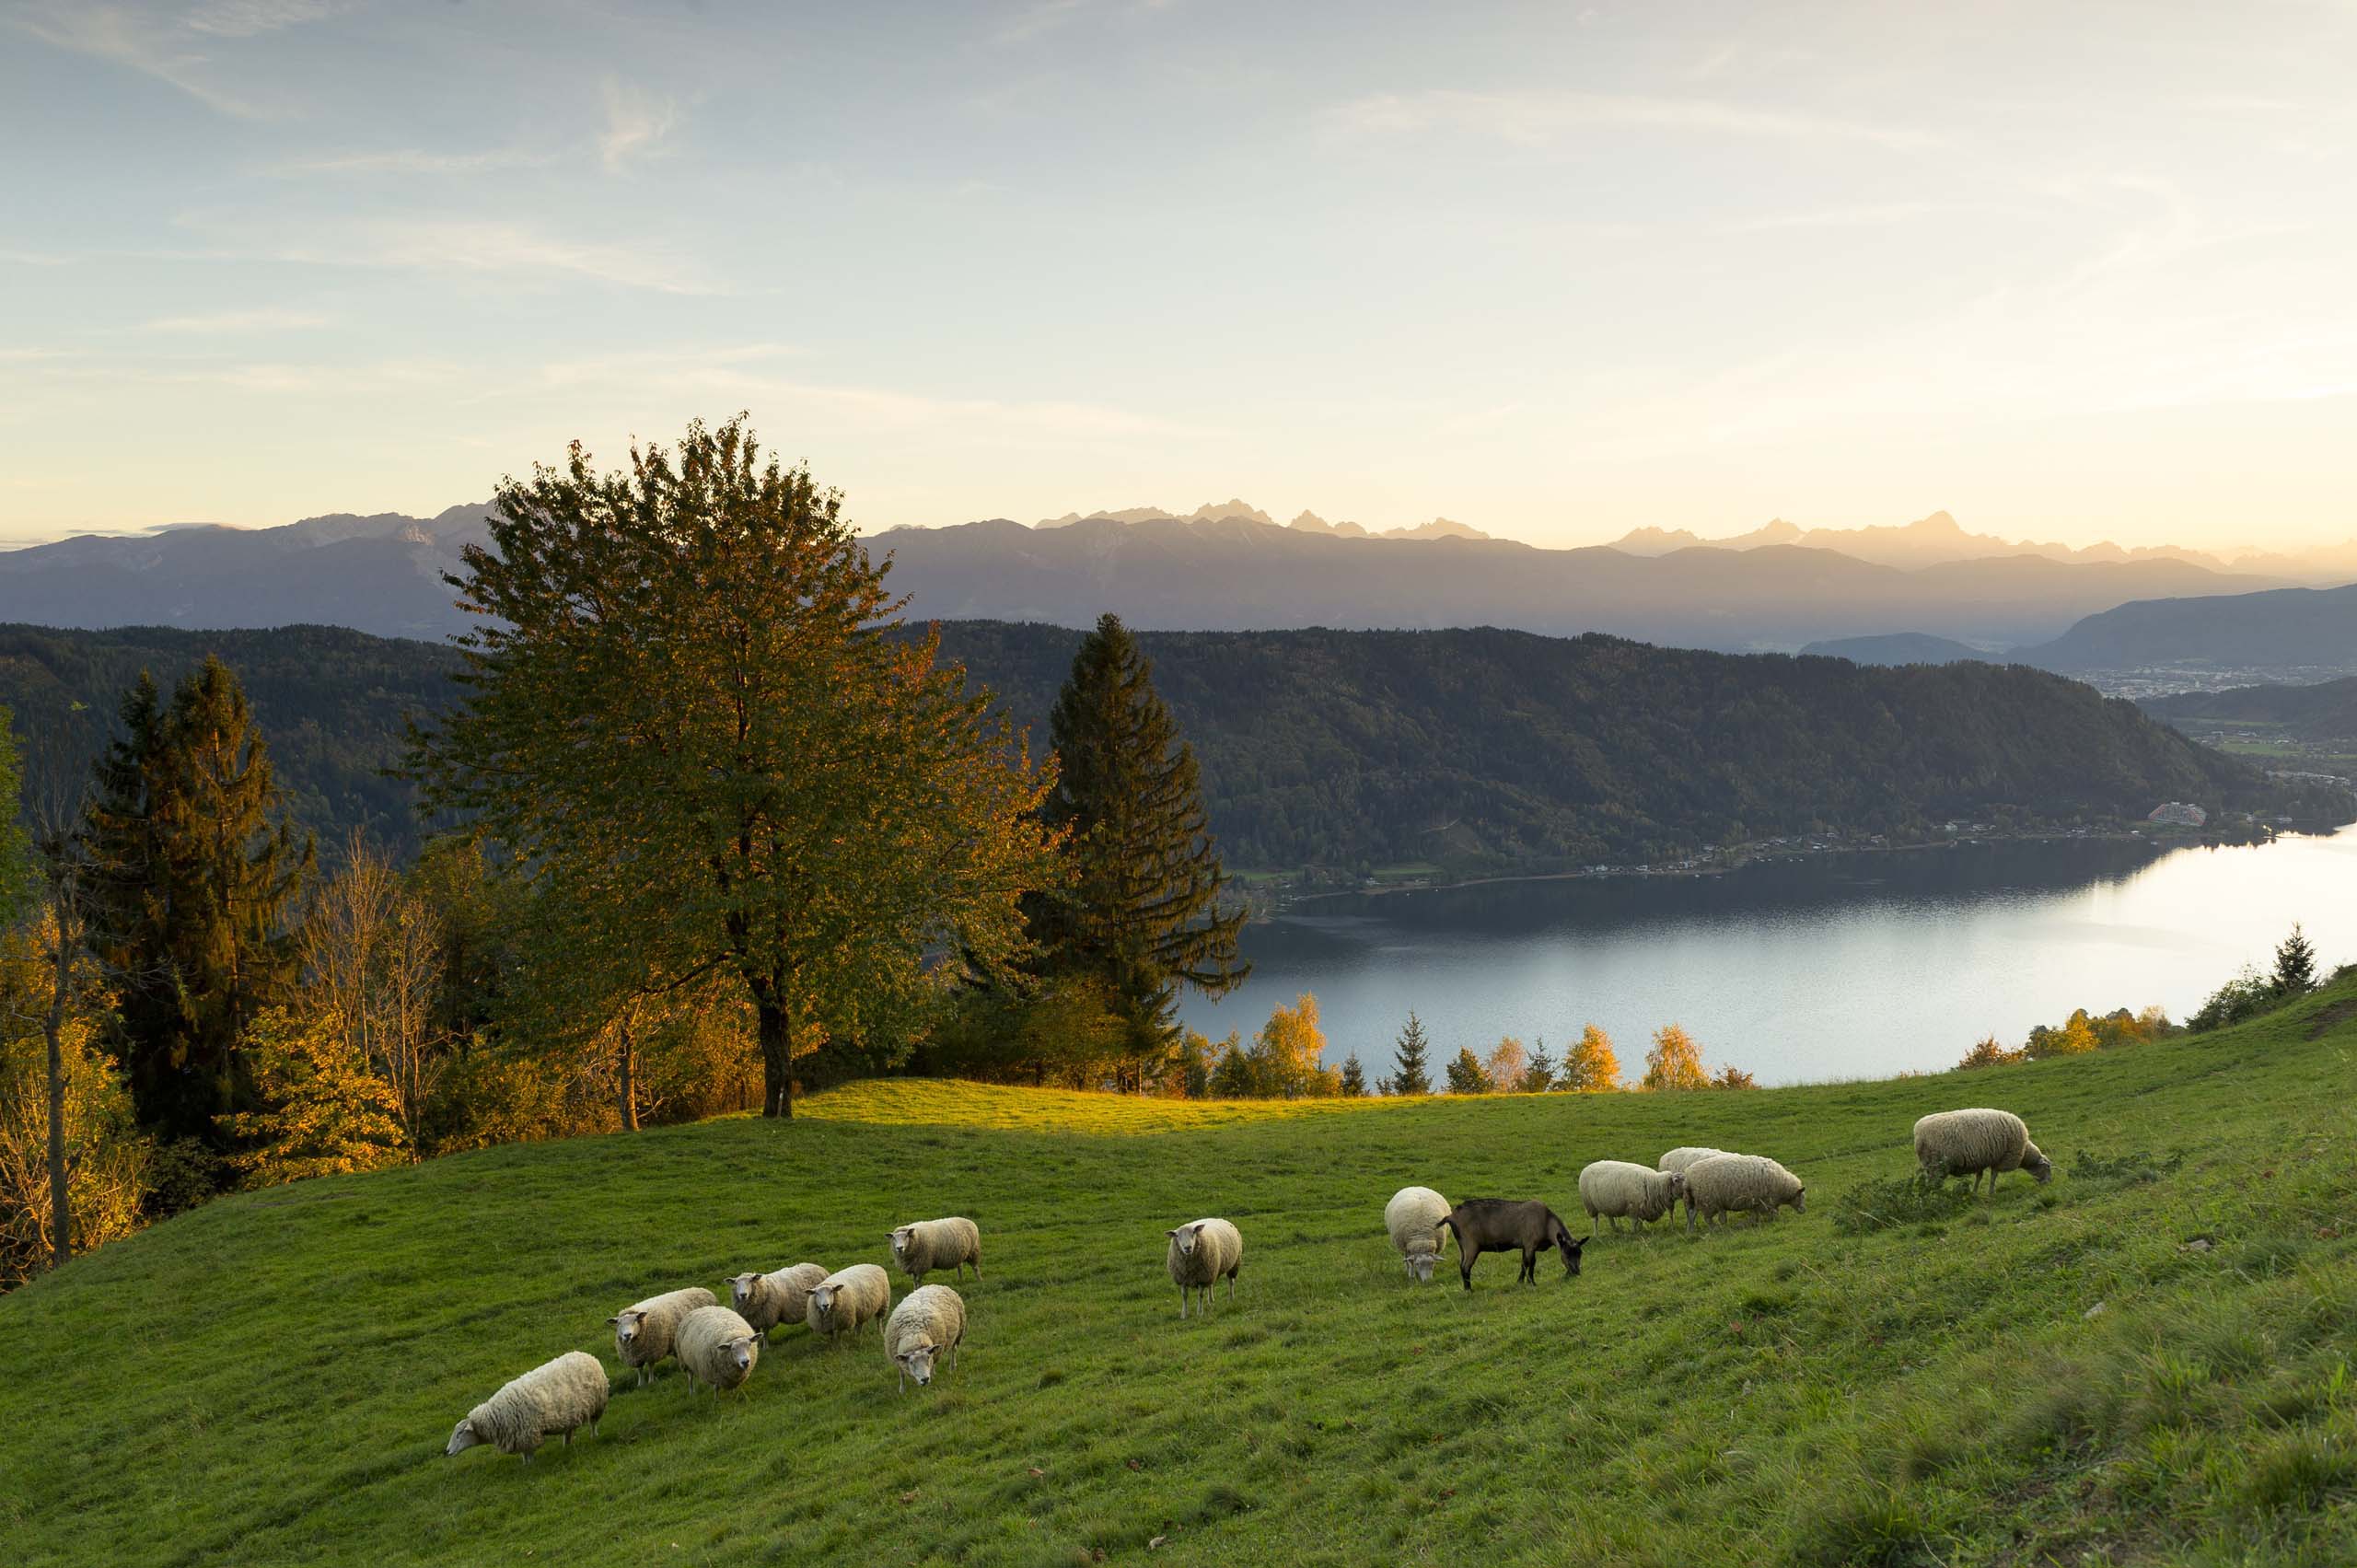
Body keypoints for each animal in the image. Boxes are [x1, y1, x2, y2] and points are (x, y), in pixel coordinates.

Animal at [443, 1339, 608, 1461]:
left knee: (593, 1423)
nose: (447, 1451)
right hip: (571, 1414)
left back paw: (593, 1436)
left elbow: (529, 1455)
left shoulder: (527, 1434)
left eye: (459, 1433)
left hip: (597, 1404)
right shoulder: (518, 1438)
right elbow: (524, 1455)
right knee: (569, 1432)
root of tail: (586, 1355)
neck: (495, 1417)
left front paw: (530, 1467)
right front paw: (524, 1465)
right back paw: (566, 1447)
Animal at [1423, 1197, 1593, 1283]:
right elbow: (1529, 1263)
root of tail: (1451, 1216)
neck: (1546, 1222)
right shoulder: (1530, 1243)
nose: (1576, 1272)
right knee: (1465, 1267)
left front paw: (1524, 1281)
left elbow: (1527, 1263)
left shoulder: (1527, 1245)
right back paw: (1469, 1291)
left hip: (1462, 1246)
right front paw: (1528, 1282)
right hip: (1471, 1244)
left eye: (1580, 1254)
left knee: (1461, 1266)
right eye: (1566, 1254)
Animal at [1678, 1145, 1800, 1225]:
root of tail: (1688, 1177)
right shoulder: (1764, 1200)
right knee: (1705, 1218)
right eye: (1800, 1196)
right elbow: (1768, 1212)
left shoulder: (1756, 1200)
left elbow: (1755, 1213)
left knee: (1693, 1215)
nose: (1803, 1211)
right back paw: (1714, 1229)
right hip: (1708, 1202)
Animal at [1904, 1108, 2055, 1192]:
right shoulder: (2001, 1158)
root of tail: (1918, 1132)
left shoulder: (1980, 1159)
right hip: (1937, 1164)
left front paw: (1974, 1192)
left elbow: (1979, 1177)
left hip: (1930, 1164)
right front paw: (1991, 1191)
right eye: (2047, 1167)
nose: (2049, 1184)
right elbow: (1993, 1176)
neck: (2024, 1151)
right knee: (1932, 1184)